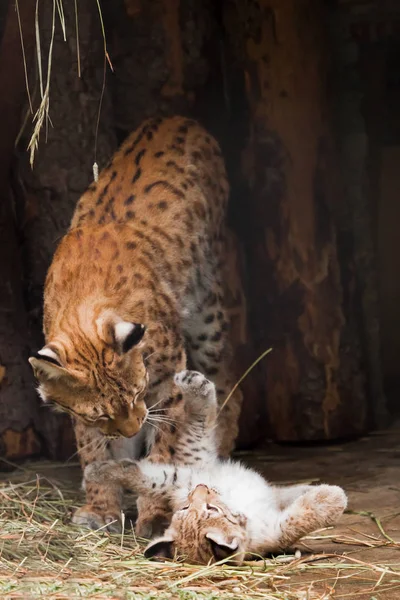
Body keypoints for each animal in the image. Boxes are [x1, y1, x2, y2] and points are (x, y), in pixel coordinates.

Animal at [85, 370, 346, 564]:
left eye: (211, 509)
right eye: (187, 506)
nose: (201, 488)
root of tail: (204, 472)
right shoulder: (273, 534)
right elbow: (294, 523)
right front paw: (331, 498)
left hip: (187, 471)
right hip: (186, 468)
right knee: (190, 437)